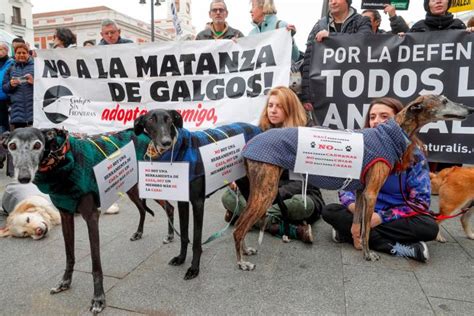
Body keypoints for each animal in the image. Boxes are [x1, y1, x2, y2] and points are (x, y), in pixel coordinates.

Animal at [3, 126, 174, 314]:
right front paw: (64, 283)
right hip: (131, 188)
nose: (24, 178)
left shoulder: (92, 217)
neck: (62, 160)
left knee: (169, 208)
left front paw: (98, 299)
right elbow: (69, 255)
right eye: (12, 146)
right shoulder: (66, 214)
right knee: (143, 209)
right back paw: (139, 233)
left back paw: (171, 236)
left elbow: (95, 265)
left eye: (37, 145)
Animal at [132, 110, 260, 280]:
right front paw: (181, 258)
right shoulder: (183, 202)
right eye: (151, 120)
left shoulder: (198, 203)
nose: (166, 142)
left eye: (169, 119)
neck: (178, 153)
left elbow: (197, 240)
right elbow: (184, 235)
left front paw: (194, 268)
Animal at [233, 95, 474, 270]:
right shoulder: (371, 192)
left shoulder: (360, 192)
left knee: (242, 223)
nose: (470, 110)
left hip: (260, 190)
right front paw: (368, 254)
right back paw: (242, 262)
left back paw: (245, 251)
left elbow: (358, 223)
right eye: (444, 100)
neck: (391, 133)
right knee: (238, 227)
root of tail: (249, 144)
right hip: (266, 191)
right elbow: (367, 228)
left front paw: (358, 245)